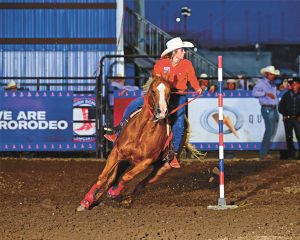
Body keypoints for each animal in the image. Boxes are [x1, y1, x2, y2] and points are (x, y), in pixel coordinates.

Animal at [76, 76, 172, 211]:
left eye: (169, 92)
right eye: (153, 91)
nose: (162, 112)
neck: (141, 131)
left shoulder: (146, 161)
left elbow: (127, 177)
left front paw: (114, 192)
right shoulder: (116, 153)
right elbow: (102, 178)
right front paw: (86, 202)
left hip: (161, 169)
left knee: (140, 184)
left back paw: (125, 199)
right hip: (122, 162)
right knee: (111, 179)